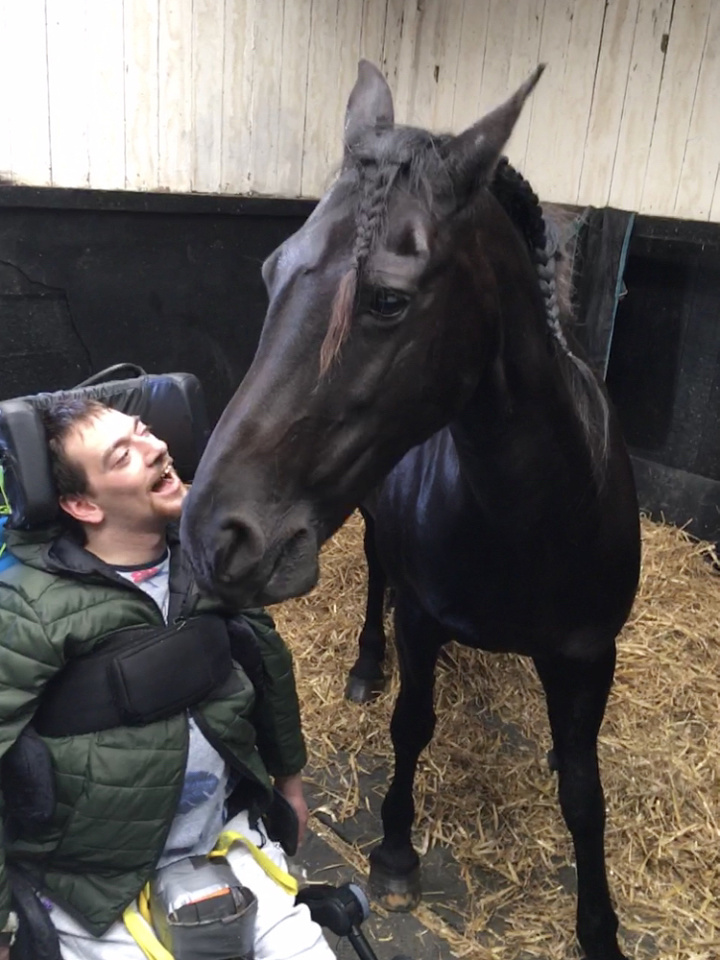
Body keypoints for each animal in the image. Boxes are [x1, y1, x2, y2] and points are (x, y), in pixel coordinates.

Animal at [182, 62, 641, 960]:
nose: (214, 532)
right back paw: (365, 665)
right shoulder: (422, 622)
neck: (535, 514)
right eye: (272, 272)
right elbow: (411, 723)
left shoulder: (588, 654)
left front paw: (599, 927)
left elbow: (585, 791)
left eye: (388, 301)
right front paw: (396, 853)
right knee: (373, 585)